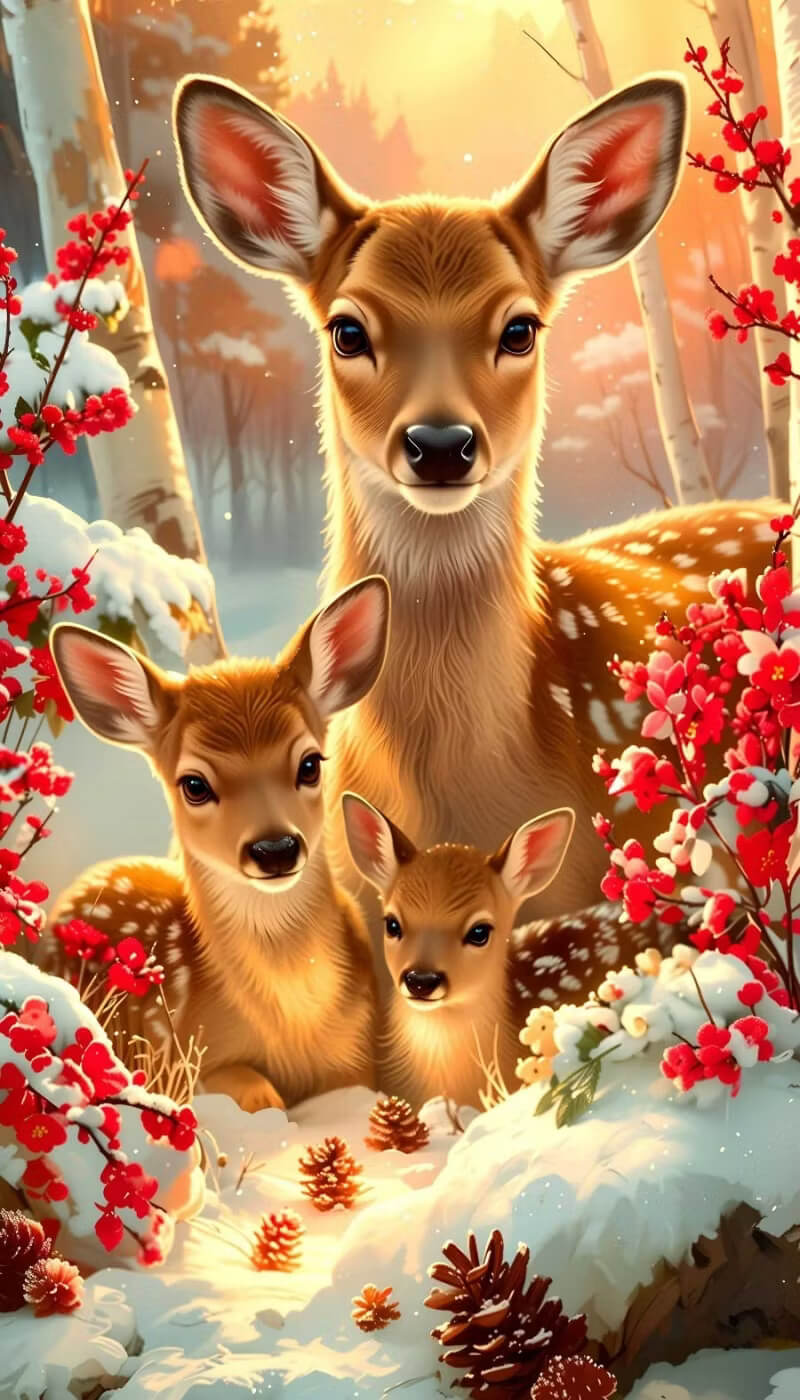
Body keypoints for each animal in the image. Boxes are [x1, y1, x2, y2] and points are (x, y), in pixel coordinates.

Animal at [45, 577, 390, 1113]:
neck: (294, 1029)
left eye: (310, 763)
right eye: (194, 784)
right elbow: (258, 1095)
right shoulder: (191, 1051)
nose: (275, 848)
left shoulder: (357, 1054)